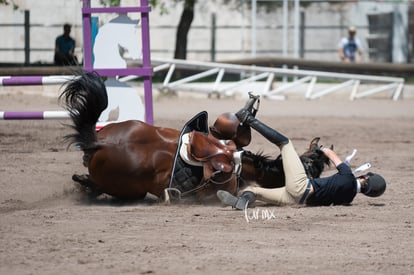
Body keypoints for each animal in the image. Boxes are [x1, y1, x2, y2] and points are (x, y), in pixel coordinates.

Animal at [59, 72, 330, 204]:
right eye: (312, 165)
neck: (244, 167)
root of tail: (100, 142)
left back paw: (82, 184)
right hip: (128, 188)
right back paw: (84, 186)